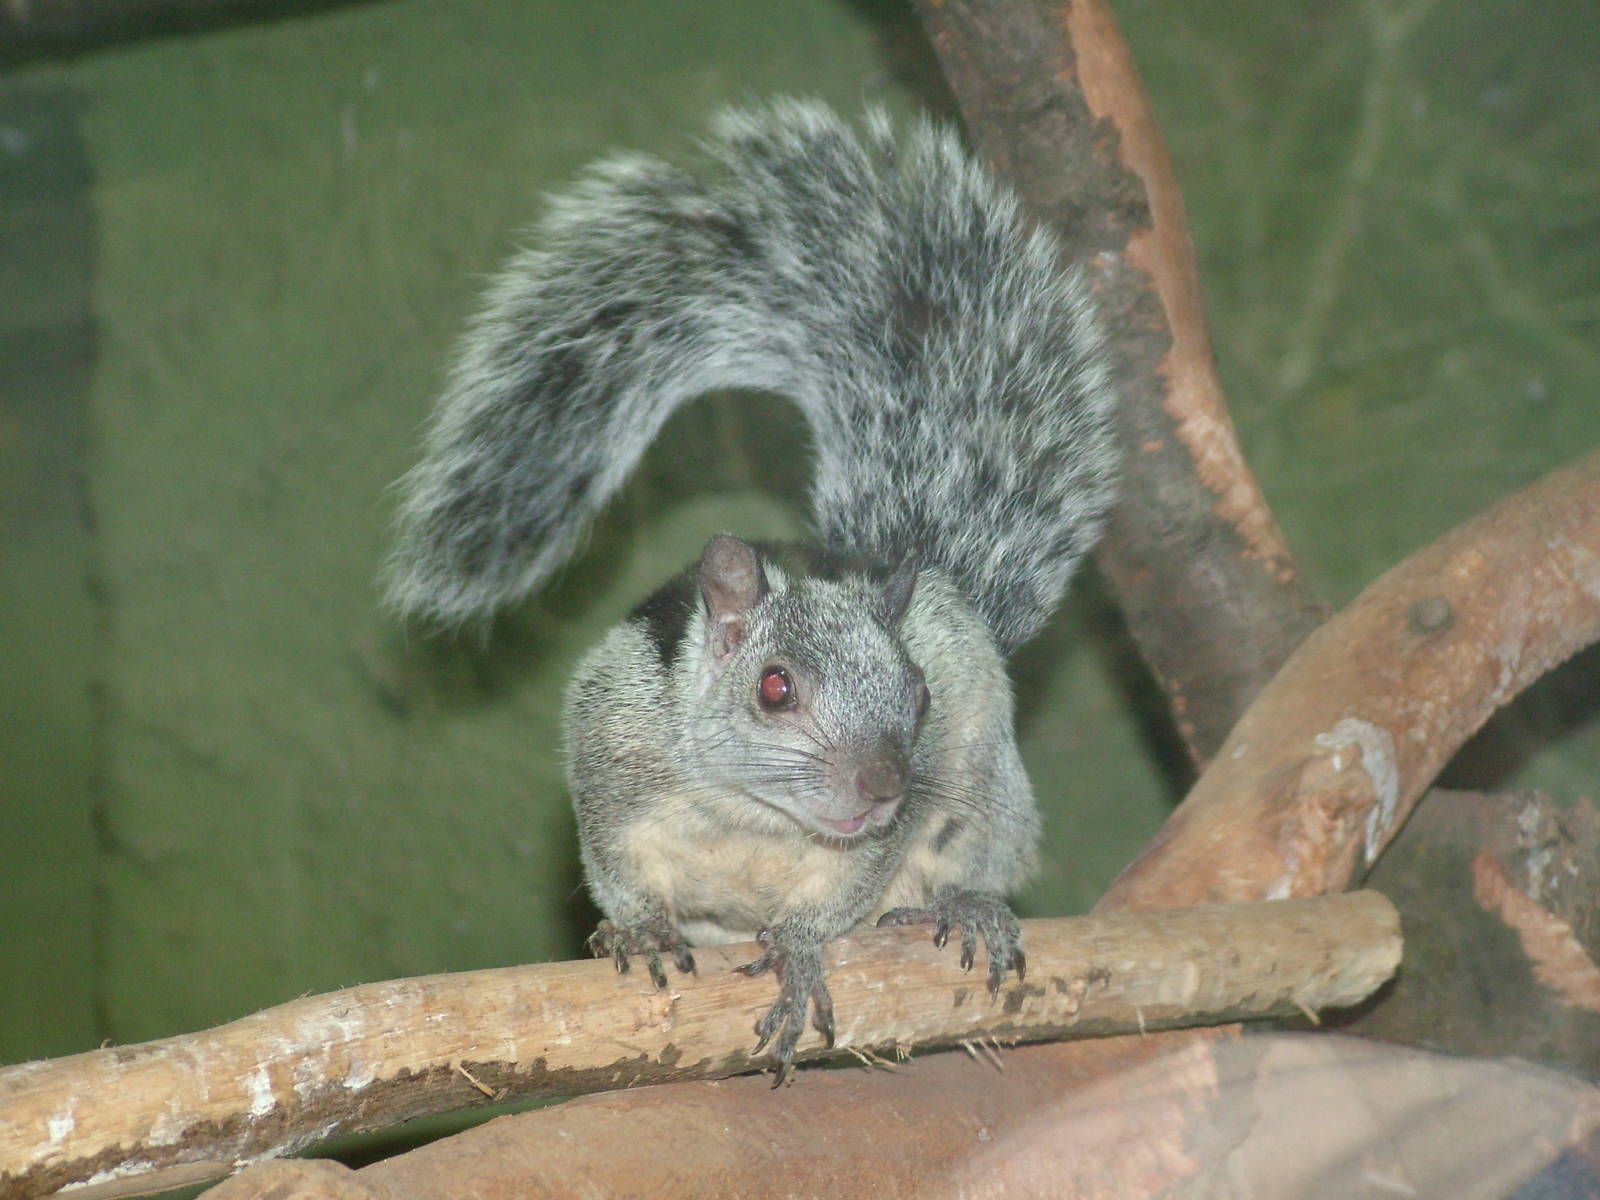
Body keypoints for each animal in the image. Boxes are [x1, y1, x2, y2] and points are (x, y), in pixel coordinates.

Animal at [384, 100, 1119, 1080]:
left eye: (919, 694)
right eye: (775, 688)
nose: (884, 787)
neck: (753, 819)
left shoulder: (876, 841)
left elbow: (840, 898)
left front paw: (803, 950)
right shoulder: (607, 755)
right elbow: (614, 868)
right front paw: (638, 930)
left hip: (987, 789)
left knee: (973, 858)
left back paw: (963, 905)